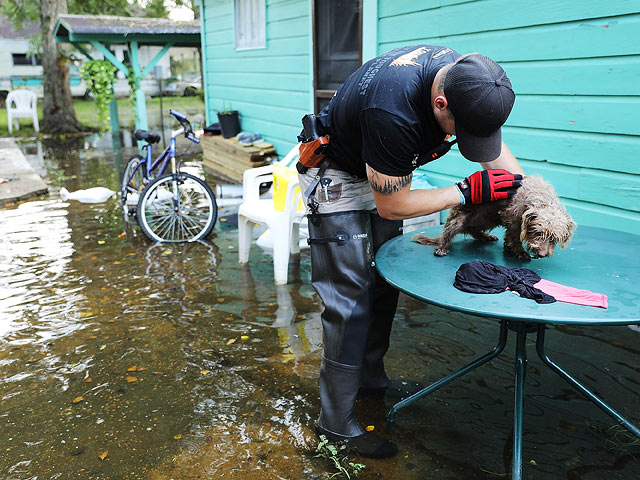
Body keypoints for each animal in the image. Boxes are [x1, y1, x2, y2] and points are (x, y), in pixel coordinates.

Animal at [412, 175, 576, 260]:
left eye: (554, 239)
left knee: (473, 230)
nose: (542, 254)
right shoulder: (512, 217)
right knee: (448, 233)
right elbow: (514, 235)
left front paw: (509, 247)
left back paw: (485, 236)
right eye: (537, 232)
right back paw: (442, 248)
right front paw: (519, 251)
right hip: (459, 219)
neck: (541, 198)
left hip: (487, 218)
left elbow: (509, 236)